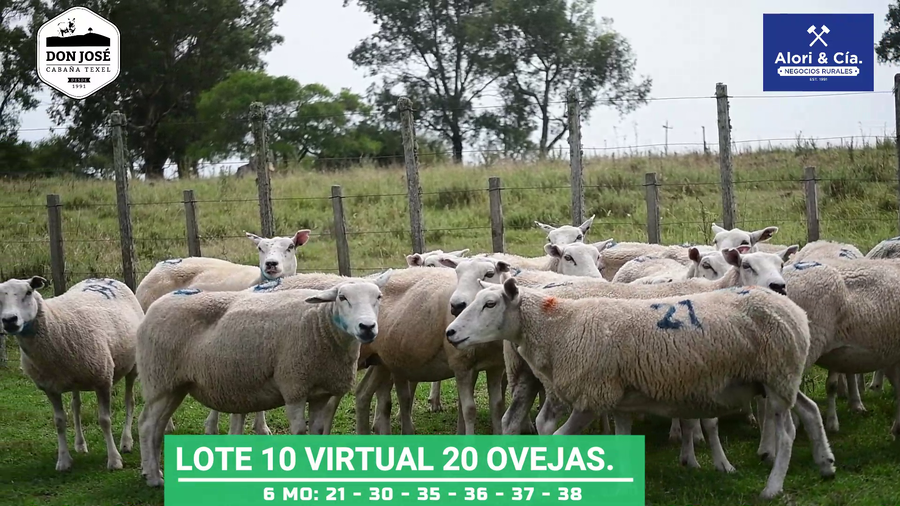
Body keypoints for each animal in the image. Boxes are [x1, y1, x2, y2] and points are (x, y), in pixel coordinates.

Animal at [0, 276, 142, 472]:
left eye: (28, 292)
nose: (9, 320)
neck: (55, 322)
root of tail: (103, 278)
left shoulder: (103, 379)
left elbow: (105, 420)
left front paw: (114, 460)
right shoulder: (50, 387)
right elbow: (59, 422)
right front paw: (63, 460)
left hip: (132, 366)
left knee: (130, 401)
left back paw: (126, 442)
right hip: (75, 378)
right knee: (76, 406)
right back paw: (80, 444)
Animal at [136, 271, 392, 487]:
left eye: (378, 297)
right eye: (342, 297)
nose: (367, 327)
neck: (319, 323)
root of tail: (153, 308)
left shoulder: (320, 392)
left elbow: (317, 433)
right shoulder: (294, 386)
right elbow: (300, 433)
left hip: (174, 385)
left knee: (158, 426)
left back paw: (154, 472)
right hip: (159, 380)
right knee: (147, 425)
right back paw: (154, 479)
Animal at [445, 277, 834, 500]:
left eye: (490, 303)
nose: (450, 332)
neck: (559, 325)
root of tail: (792, 307)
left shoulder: (591, 396)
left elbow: (556, 441)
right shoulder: (618, 401)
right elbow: (619, 443)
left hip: (777, 375)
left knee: (788, 431)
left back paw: (772, 487)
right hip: (779, 377)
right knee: (809, 409)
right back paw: (826, 464)